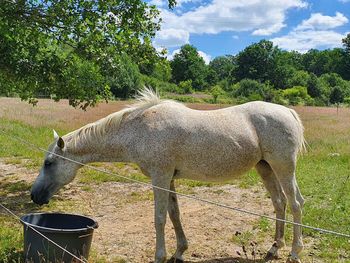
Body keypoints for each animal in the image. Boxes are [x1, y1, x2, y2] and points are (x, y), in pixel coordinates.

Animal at [32, 89, 306, 263]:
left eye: (49, 163)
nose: (35, 196)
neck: (138, 129)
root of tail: (288, 112)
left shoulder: (160, 177)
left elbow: (160, 219)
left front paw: (160, 256)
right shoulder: (170, 179)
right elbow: (175, 215)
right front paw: (180, 251)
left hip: (283, 167)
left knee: (295, 204)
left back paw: (294, 252)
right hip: (265, 168)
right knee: (279, 203)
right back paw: (274, 248)